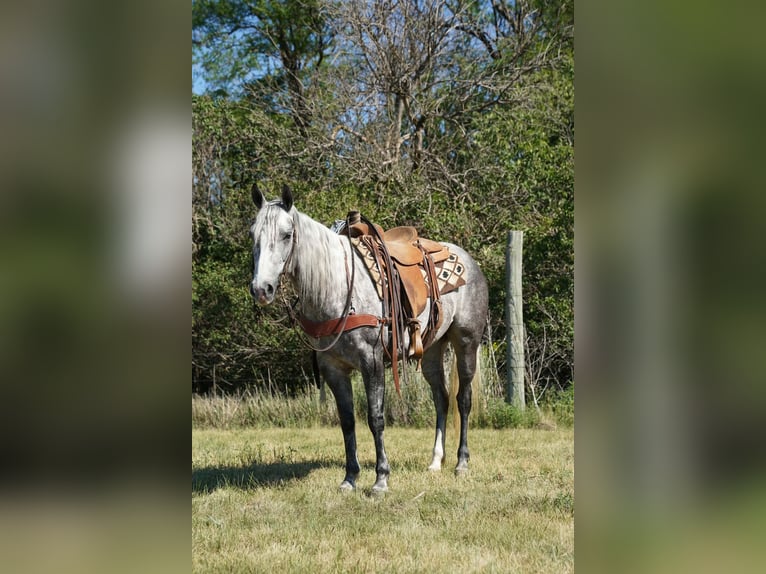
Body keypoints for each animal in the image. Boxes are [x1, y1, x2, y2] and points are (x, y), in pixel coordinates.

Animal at [249, 184, 489, 493]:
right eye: (252, 234)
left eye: (286, 234)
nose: (261, 289)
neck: (338, 288)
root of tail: (468, 260)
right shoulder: (333, 369)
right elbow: (348, 421)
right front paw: (350, 478)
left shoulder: (371, 362)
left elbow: (375, 418)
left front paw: (380, 479)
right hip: (432, 350)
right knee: (442, 399)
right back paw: (436, 461)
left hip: (466, 343)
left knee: (463, 399)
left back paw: (461, 463)